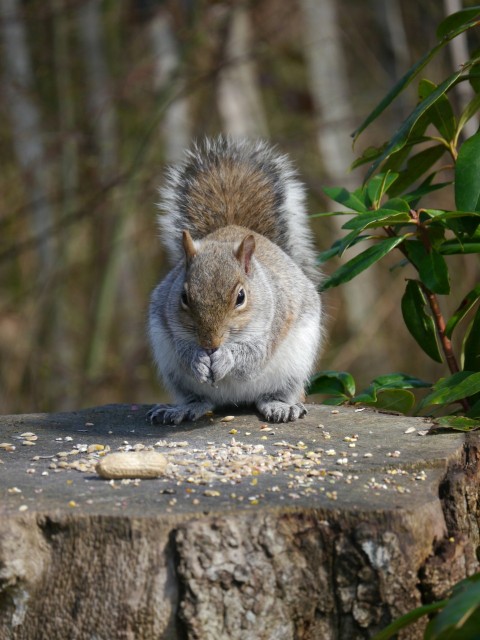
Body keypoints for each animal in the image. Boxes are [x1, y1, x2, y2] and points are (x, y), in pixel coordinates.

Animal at [148, 136, 322, 424]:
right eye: (184, 297)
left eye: (241, 297)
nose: (210, 344)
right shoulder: (167, 321)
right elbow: (182, 348)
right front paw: (196, 359)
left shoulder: (275, 321)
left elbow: (252, 356)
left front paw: (226, 358)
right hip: (174, 373)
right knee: (201, 399)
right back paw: (183, 408)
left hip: (295, 366)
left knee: (275, 393)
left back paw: (280, 405)